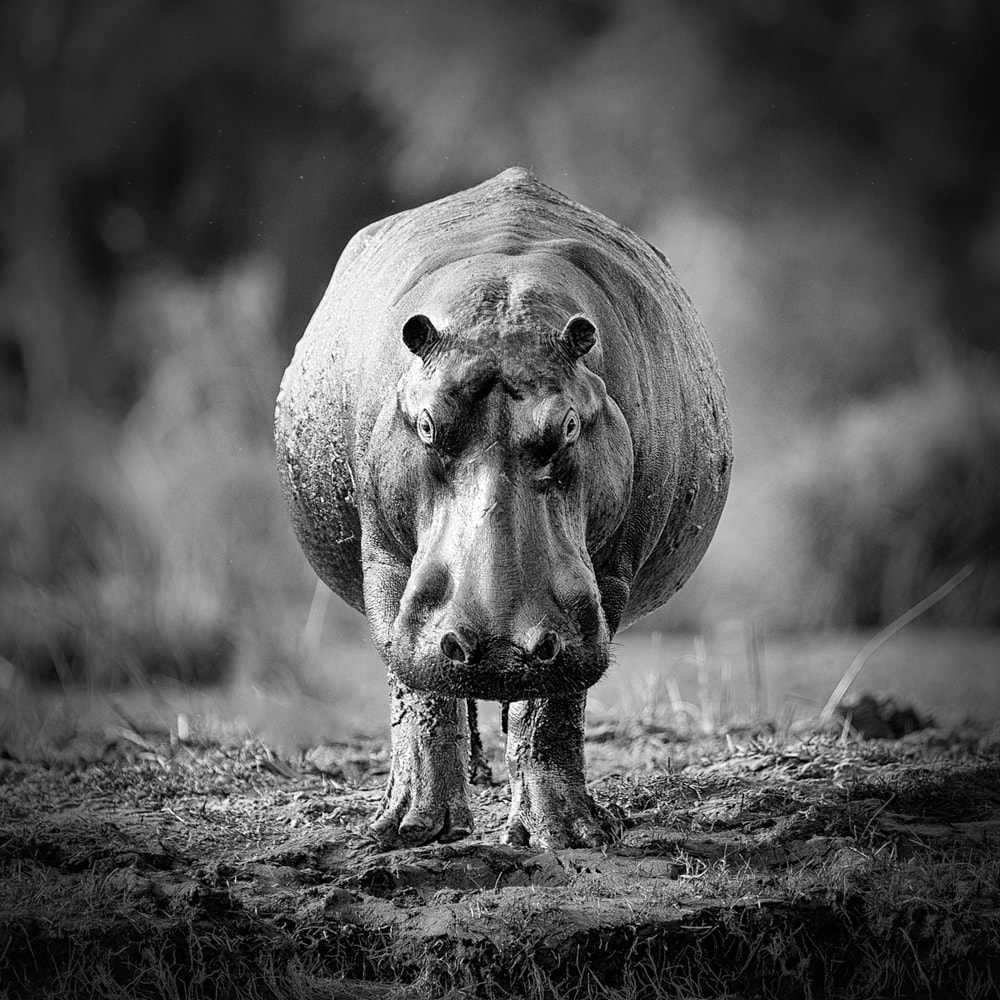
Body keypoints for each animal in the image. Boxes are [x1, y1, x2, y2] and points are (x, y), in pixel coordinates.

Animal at [278, 168, 732, 848]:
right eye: (427, 424)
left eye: (568, 423)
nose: (496, 645)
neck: (501, 313)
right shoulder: (385, 563)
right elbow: (421, 695)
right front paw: (416, 828)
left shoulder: (607, 578)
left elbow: (554, 704)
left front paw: (568, 834)